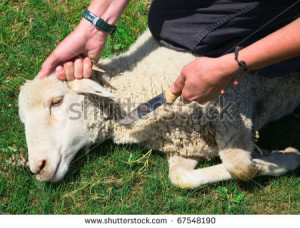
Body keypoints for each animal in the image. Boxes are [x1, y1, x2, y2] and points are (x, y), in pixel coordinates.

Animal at [18, 29, 300, 189]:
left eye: (56, 101)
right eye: (23, 120)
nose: (37, 168)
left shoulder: (232, 107)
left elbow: (240, 167)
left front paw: (279, 159)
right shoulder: (186, 144)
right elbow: (181, 179)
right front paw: (277, 158)